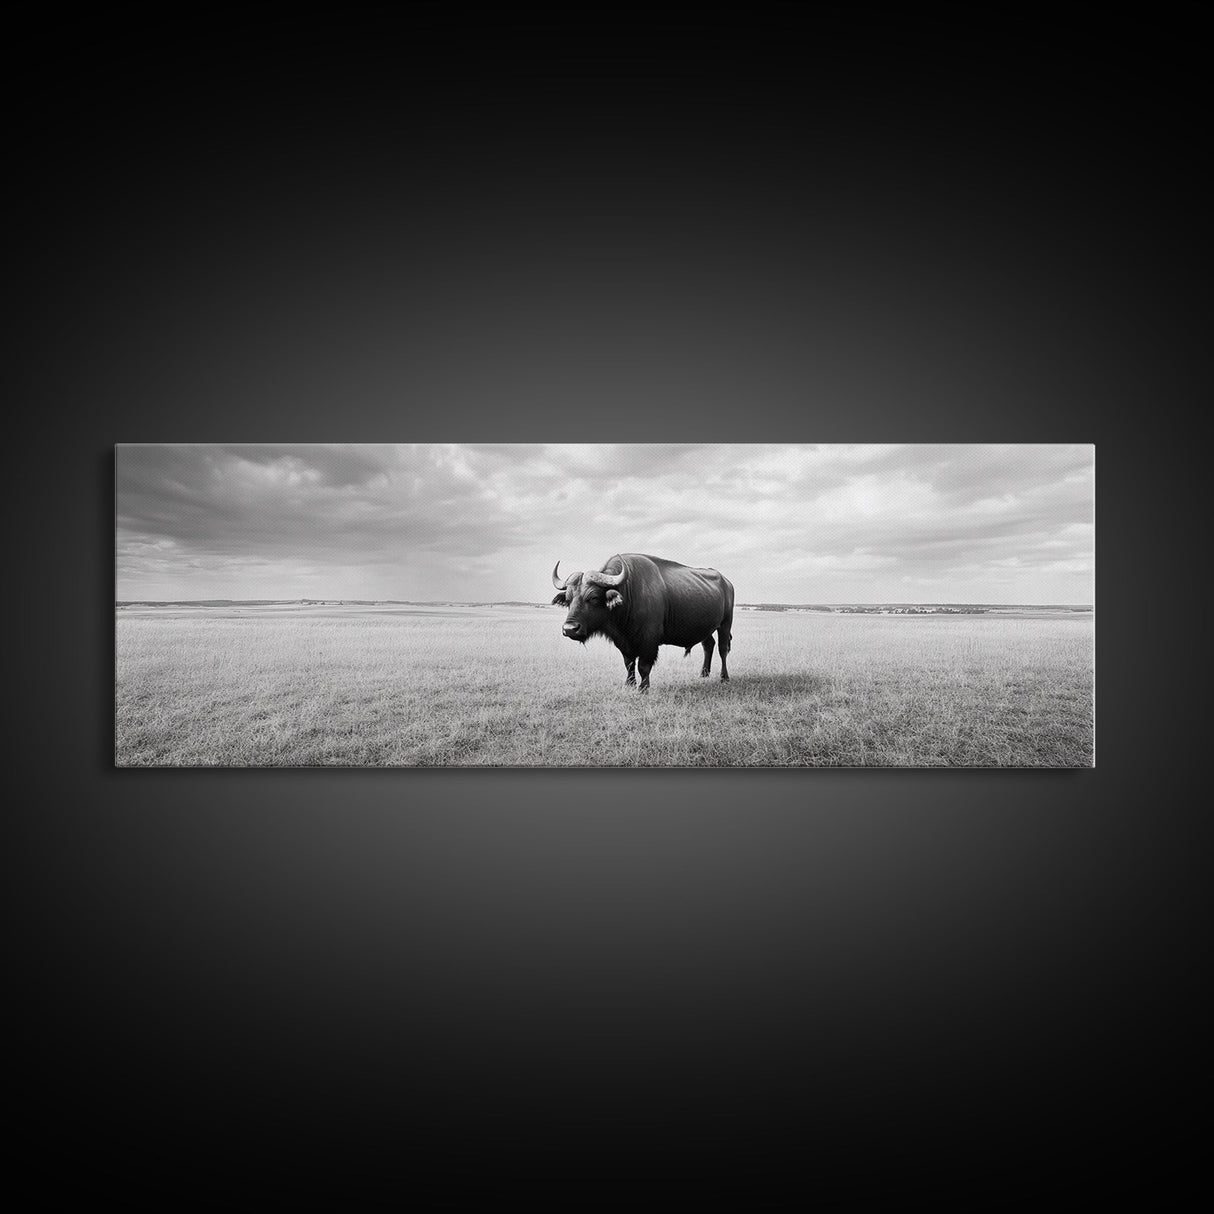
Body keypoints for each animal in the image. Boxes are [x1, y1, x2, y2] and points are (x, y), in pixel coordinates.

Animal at [551, 553, 734, 693]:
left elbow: (643, 666)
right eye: (568, 599)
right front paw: (629, 684)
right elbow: (629, 663)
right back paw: (704, 673)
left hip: (725, 623)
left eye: (593, 597)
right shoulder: (623, 641)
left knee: (722, 649)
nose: (569, 629)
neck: (629, 593)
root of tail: (727, 582)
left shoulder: (649, 641)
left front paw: (643, 688)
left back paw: (724, 677)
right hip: (706, 627)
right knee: (708, 645)